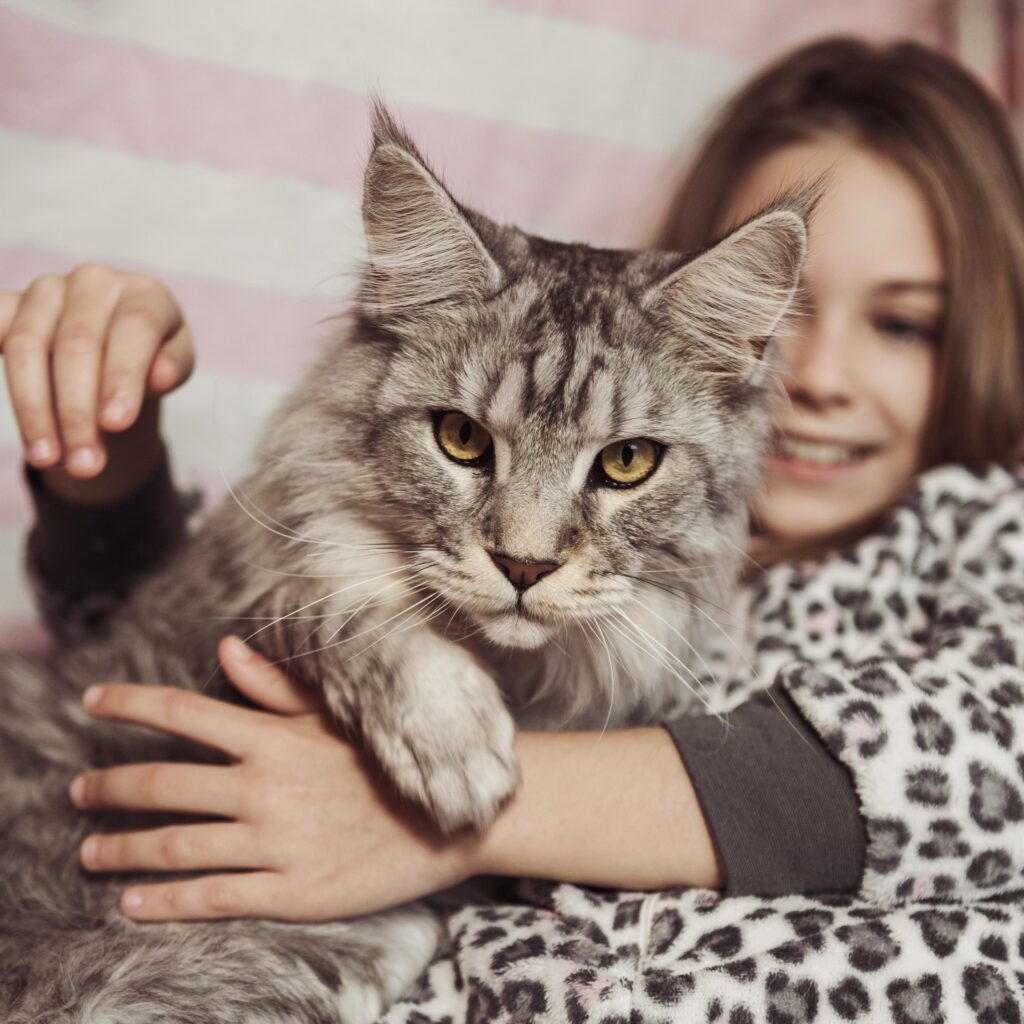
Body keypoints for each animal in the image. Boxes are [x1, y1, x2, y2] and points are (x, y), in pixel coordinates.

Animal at [0, 105, 809, 1023]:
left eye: (627, 463)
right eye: (460, 439)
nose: (523, 565)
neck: (516, 677)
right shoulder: (247, 602)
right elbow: (346, 605)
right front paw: (456, 753)